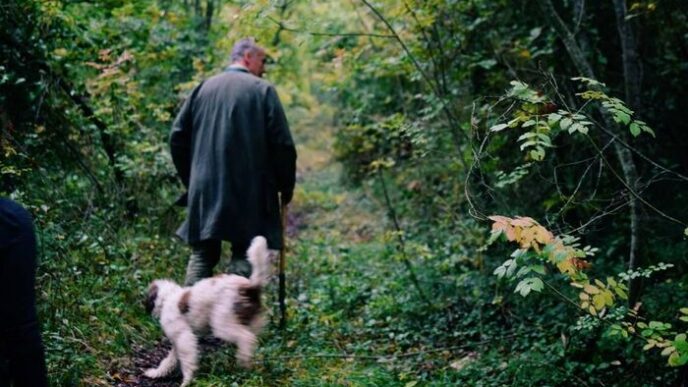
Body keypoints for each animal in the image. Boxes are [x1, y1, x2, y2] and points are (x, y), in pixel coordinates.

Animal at [142, 235, 272, 386]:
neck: (168, 298)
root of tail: (249, 286)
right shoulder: (178, 341)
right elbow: (168, 361)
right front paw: (156, 373)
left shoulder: (183, 337)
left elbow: (187, 361)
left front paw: (186, 381)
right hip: (252, 320)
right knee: (252, 338)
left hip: (222, 321)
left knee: (246, 337)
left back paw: (243, 361)